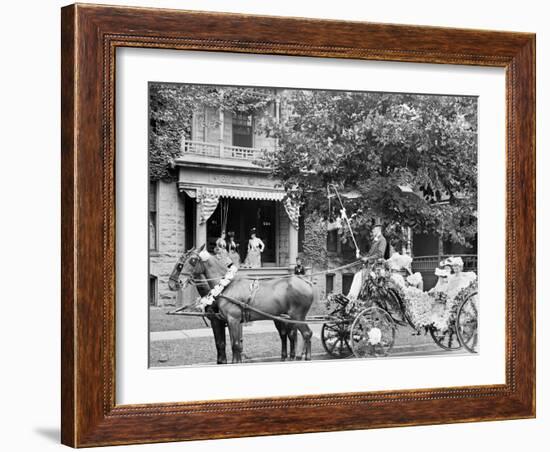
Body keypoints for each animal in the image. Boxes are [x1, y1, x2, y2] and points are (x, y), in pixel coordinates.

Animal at [168, 245, 316, 366]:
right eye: (182, 263)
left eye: (192, 261)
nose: (178, 282)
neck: (227, 285)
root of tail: (306, 282)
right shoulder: (229, 321)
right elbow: (235, 345)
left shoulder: (232, 319)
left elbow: (234, 345)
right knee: (292, 335)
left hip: (297, 316)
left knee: (306, 334)